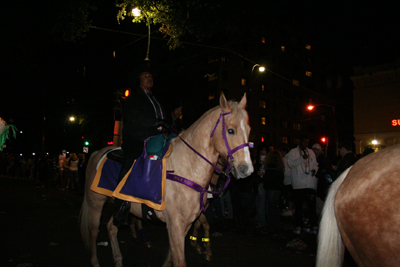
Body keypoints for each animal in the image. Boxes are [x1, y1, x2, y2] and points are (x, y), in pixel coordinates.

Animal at [79, 92, 253, 267]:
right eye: (230, 130)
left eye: (249, 130)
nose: (247, 169)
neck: (187, 167)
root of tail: (97, 153)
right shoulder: (175, 224)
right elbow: (179, 260)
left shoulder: (185, 224)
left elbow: (173, 255)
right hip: (96, 202)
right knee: (93, 230)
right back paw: (95, 261)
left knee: (111, 227)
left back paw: (118, 260)